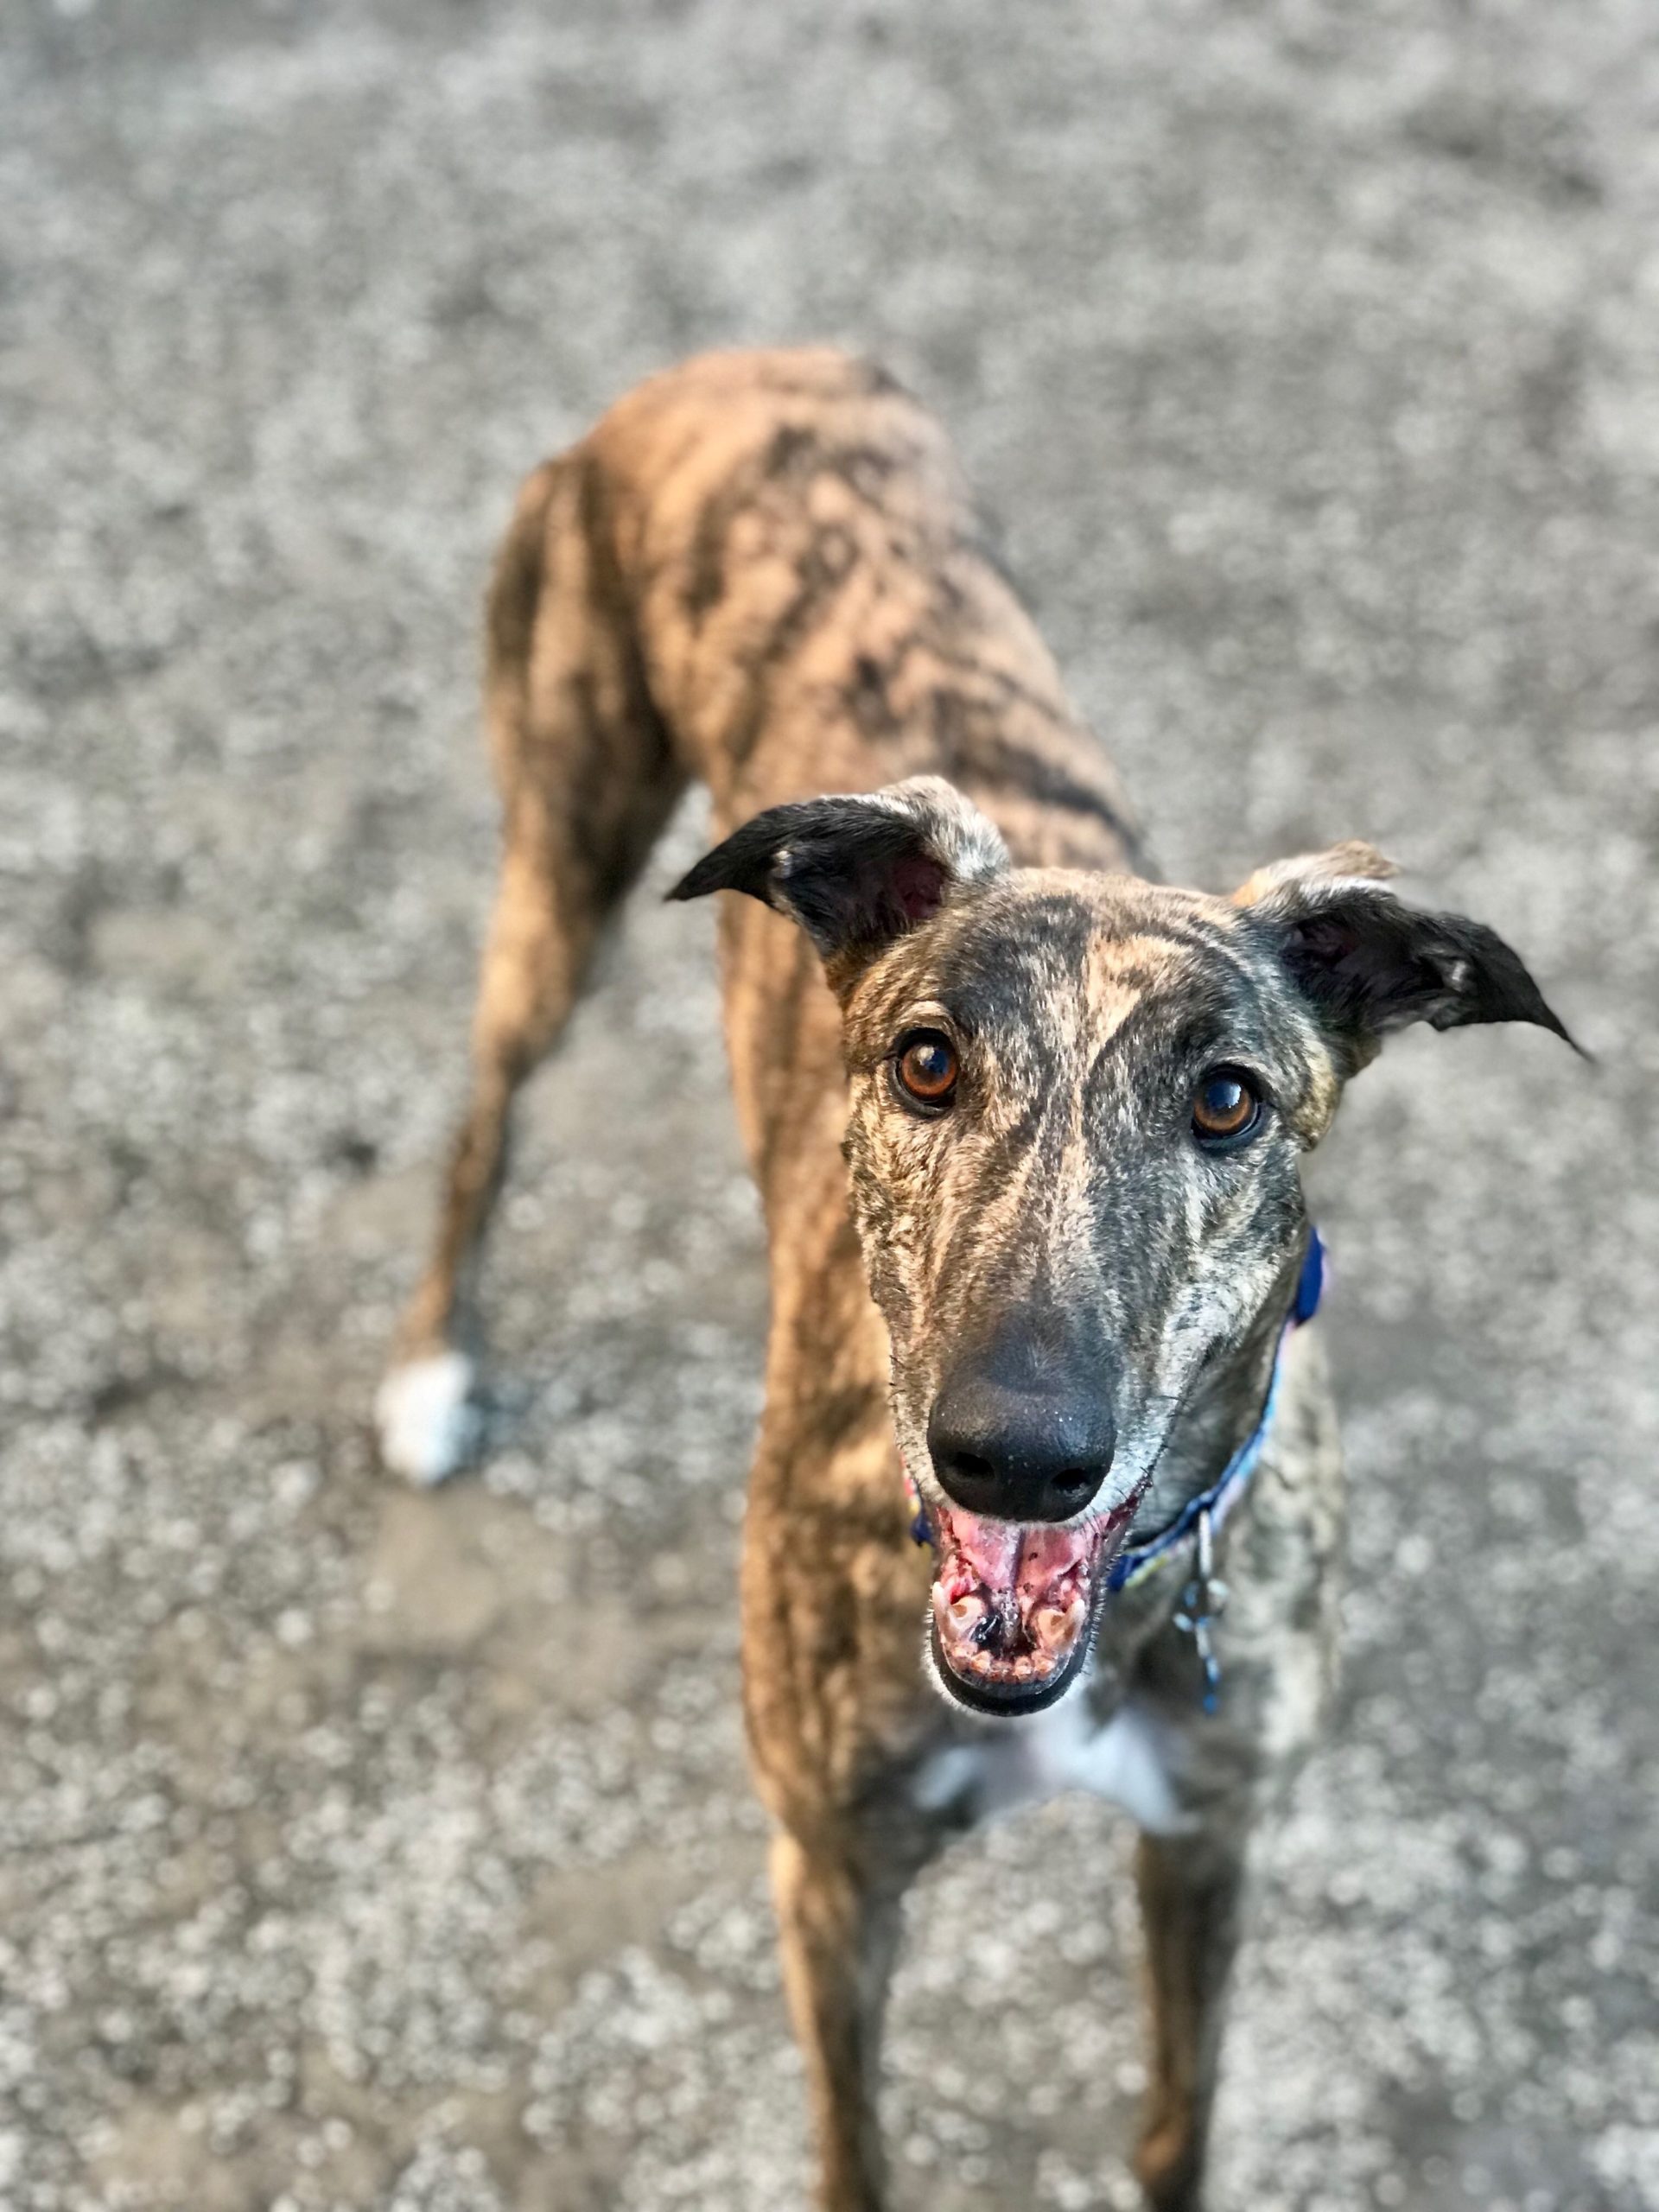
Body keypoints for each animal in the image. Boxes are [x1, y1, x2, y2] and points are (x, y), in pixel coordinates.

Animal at [373, 349, 1574, 2212]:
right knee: (484, 1109)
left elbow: (1174, 2124)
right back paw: (437, 1365)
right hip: (560, 850)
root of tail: (742, 363)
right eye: (928, 1061)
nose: (1014, 1455)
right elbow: (855, 2153)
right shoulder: (833, 1874)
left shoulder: (1211, 1842)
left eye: (1227, 1096)